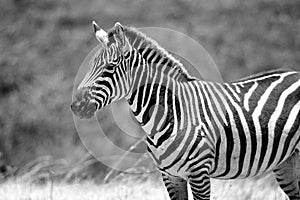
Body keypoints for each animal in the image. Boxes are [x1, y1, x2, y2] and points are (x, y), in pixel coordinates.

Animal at [71, 21, 300, 199]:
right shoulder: (170, 176)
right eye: (90, 66)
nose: (75, 106)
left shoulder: (199, 173)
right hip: (287, 161)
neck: (170, 113)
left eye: (109, 67)